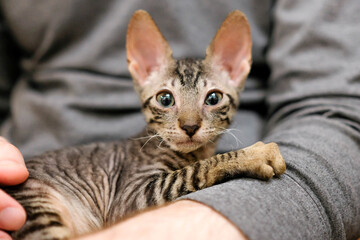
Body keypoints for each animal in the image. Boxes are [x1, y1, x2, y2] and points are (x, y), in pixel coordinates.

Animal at [4, 9, 286, 240]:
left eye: (213, 98)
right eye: (165, 99)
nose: (190, 126)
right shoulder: (131, 197)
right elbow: (195, 170)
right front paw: (254, 154)